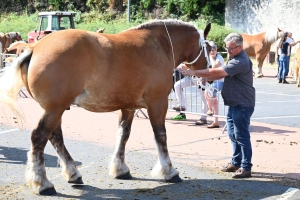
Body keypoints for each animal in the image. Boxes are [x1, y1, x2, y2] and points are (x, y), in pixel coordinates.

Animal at [0, 19, 211, 195]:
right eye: (208, 47)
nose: (209, 72)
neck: (159, 45)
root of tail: (34, 47)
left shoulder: (129, 107)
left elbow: (123, 135)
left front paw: (120, 169)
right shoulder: (157, 102)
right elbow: (161, 136)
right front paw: (169, 171)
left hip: (55, 109)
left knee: (55, 137)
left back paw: (73, 173)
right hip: (54, 109)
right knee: (39, 137)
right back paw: (42, 183)